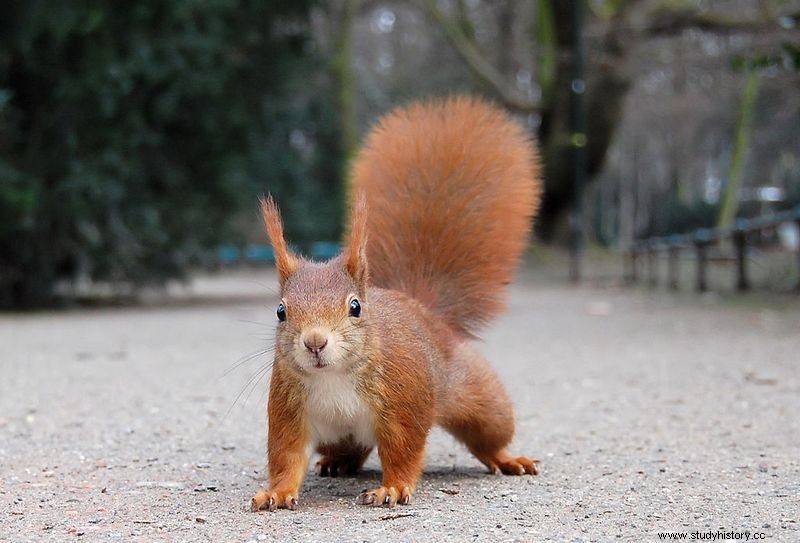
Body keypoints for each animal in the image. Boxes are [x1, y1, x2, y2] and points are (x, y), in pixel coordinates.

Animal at [253, 96, 544, 510]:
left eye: (355, 307)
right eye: (280, 311)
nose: (314, 342)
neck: (333, 377)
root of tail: (423, 309)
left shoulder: (403, 401)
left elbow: (403, 450)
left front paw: (391, 487)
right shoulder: (288, 410)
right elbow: (286, 457)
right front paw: (276, 492)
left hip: (480, 399)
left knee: (489, 435)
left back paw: (507, 459)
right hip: (337, 435)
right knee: (350, 448)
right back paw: (338, 463)